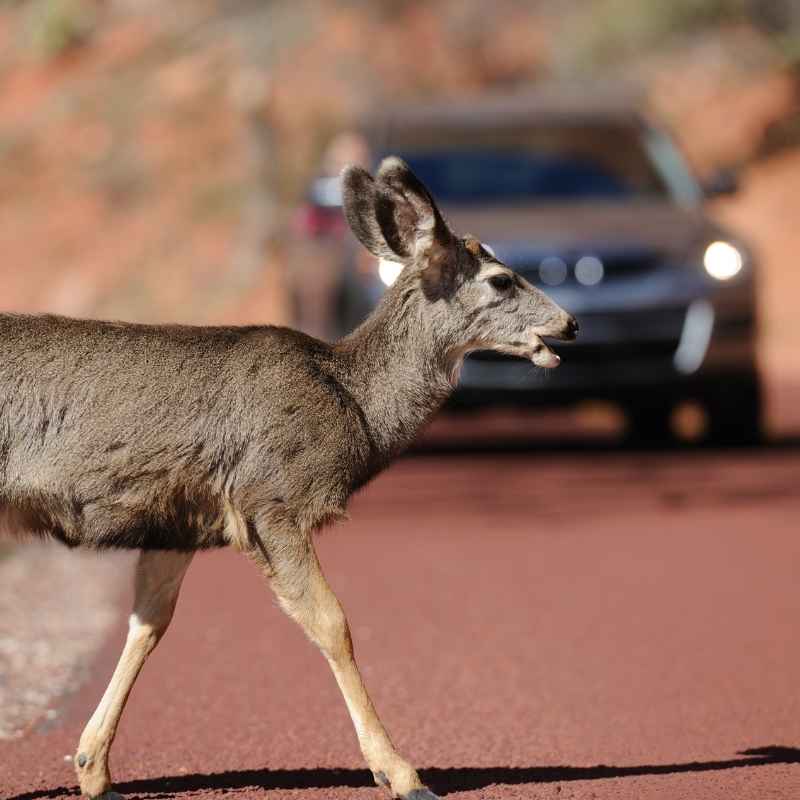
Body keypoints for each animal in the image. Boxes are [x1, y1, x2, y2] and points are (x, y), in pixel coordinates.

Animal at [0, 157, 578, 800]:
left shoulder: (180, 522)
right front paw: (400, 771)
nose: (570, 324)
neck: (355, 404)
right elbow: (332, 623)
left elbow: (148, 623)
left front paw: (94, 768)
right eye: (502, 280)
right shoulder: (271, 498)